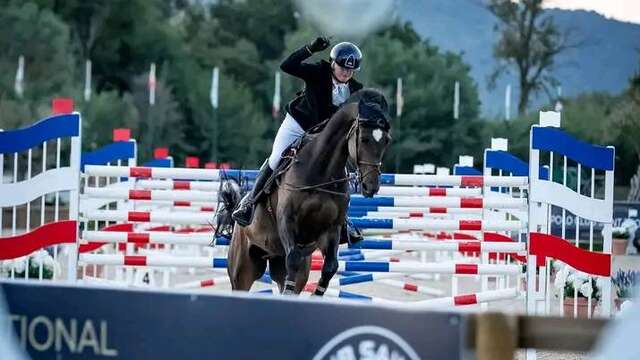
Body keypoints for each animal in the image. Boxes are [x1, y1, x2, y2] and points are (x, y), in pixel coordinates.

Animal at [218, 89, 392, 296]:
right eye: (364, 139)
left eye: (387, 141)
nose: (371, 186)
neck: (321, 170)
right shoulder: (287, 221)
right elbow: (293, 258)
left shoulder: (331, 229)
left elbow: (330, 267)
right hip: (243, 269)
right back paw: (243, 212)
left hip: (280, 262)